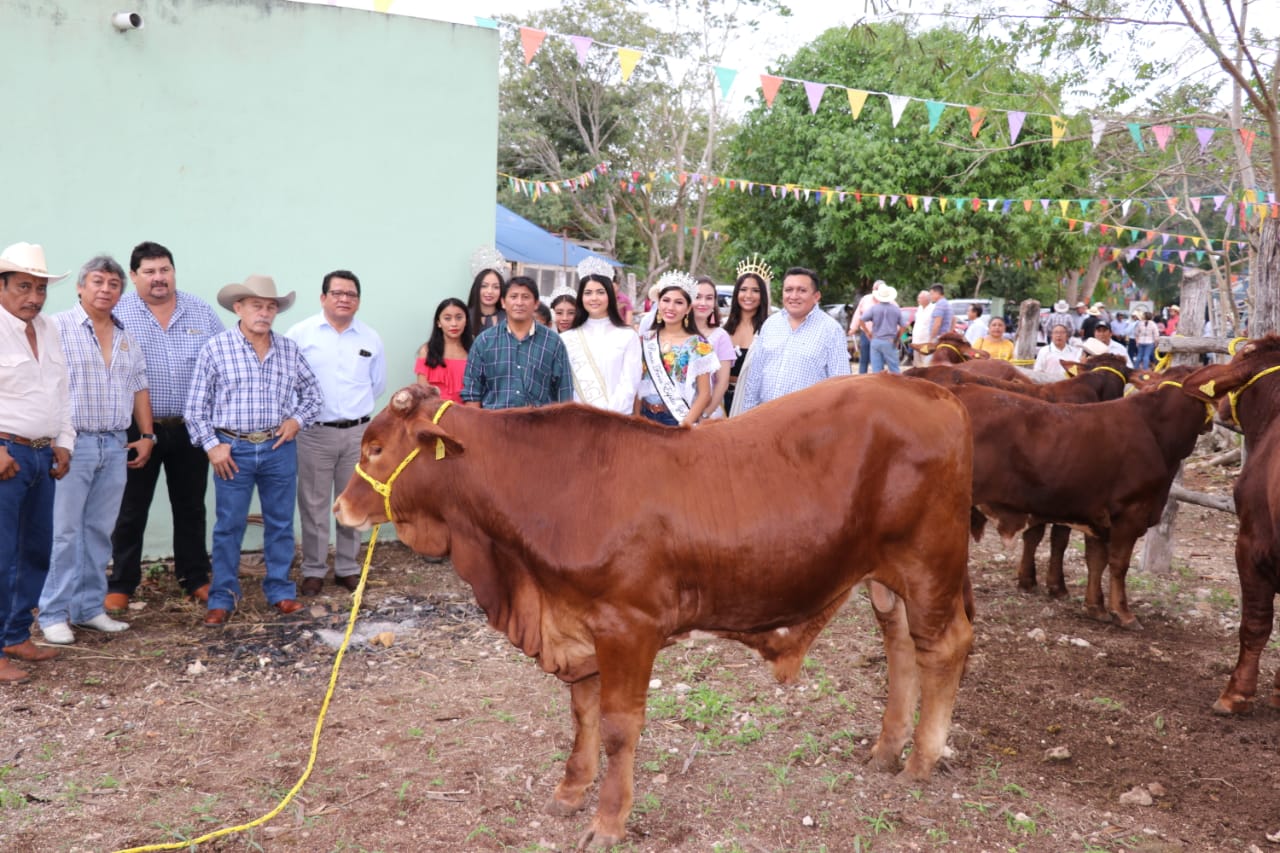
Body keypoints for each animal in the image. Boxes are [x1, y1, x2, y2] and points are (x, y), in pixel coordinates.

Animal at [335, 379, 972, 850]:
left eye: (375, 448)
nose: (342, 508)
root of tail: (930, 389)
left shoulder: (628, 626)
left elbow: (619, 727)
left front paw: (608, 821)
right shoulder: (580, 625)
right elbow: (583, 713)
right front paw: (571, 790)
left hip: (929, 566)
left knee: (944, 645)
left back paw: (921, 758)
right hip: (886, 578)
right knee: (899, 644)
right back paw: (887, 748)